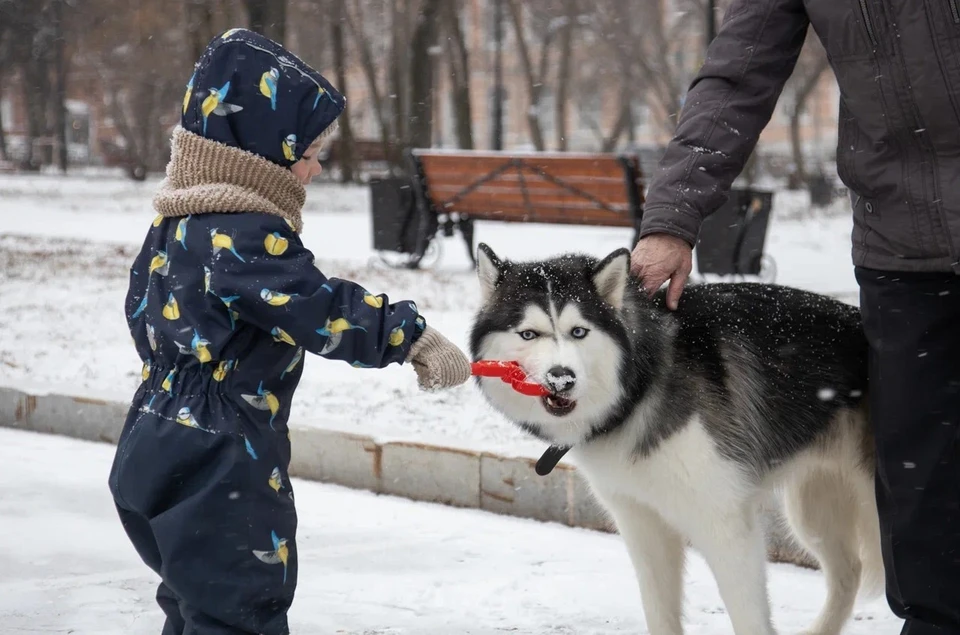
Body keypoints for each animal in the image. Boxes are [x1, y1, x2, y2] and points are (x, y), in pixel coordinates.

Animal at [468, 245, 880, 635]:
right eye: (528, 334)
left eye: (578, 332)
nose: (561, 378)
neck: (641, 386)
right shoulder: (641, 521)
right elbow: (659, 608)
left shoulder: (724, 520)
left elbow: (749, 617)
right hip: (814, 509)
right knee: (849, 573)